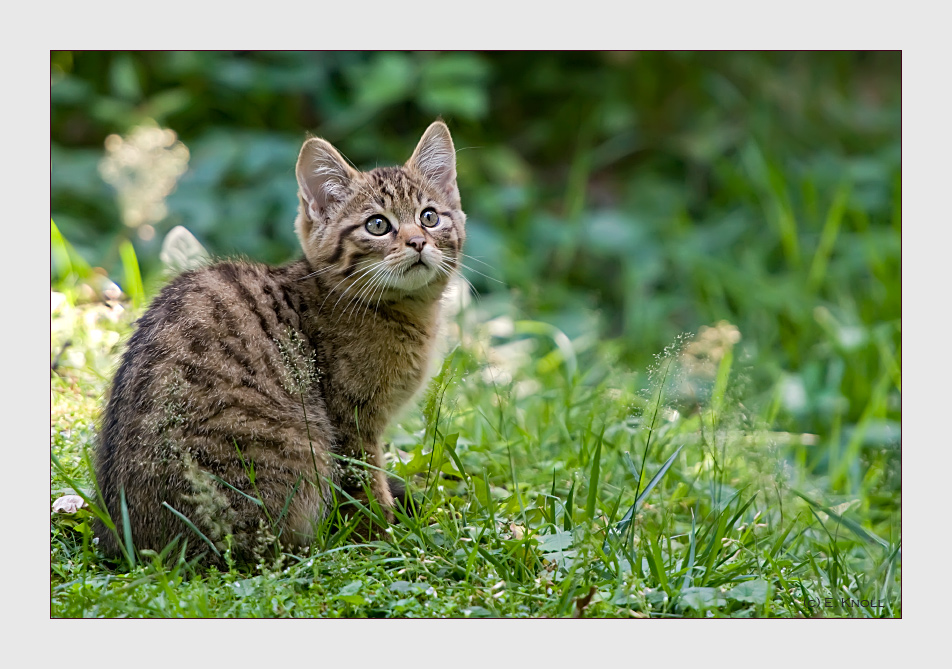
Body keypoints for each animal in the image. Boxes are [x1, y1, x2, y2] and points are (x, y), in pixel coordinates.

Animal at [95, 121, 466, 564]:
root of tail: (128, 545)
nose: (417, 241)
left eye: (429, 217)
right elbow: (362, 485)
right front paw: (383, 536)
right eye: (377, 225)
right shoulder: (351, 422)